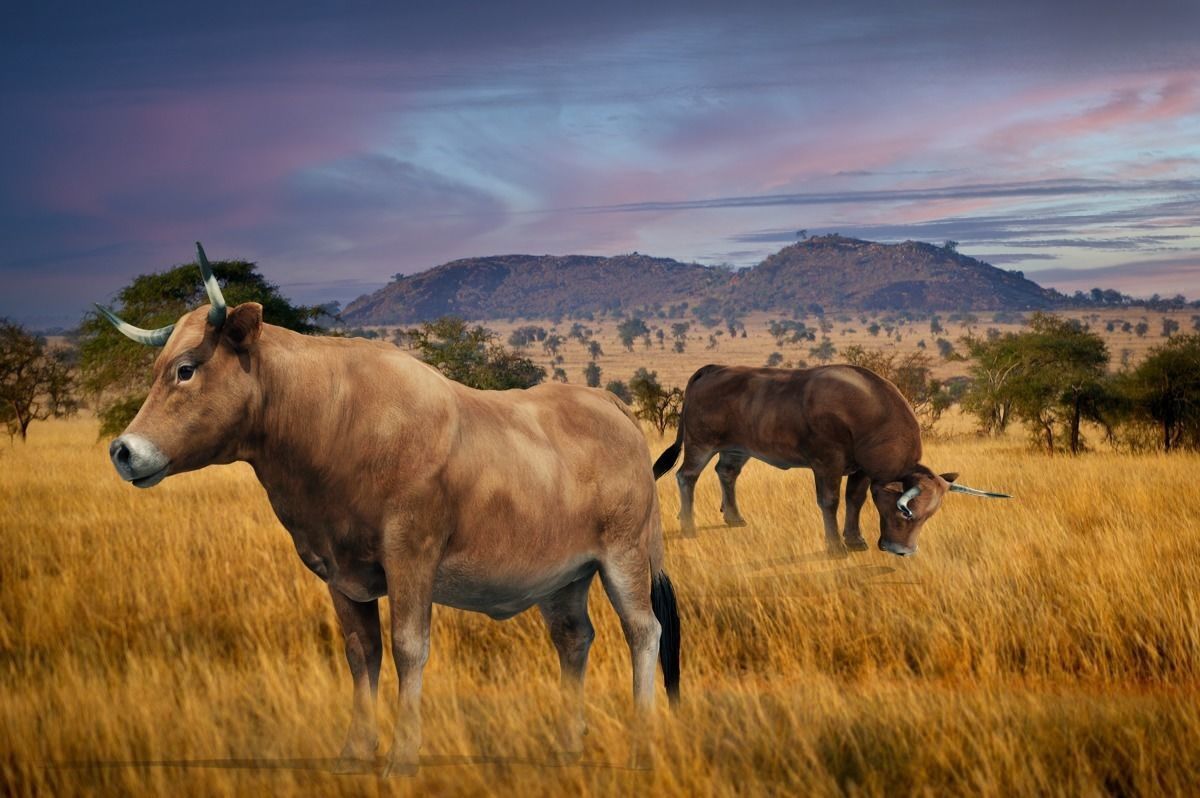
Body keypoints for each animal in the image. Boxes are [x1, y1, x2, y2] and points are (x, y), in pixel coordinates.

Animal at [96, 244, 680, 776]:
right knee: (574, 639)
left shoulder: (411, 559)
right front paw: (354, 753)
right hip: (564, 577)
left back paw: (641, 747)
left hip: (624, 558)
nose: (123, 451)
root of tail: (607, 404)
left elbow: (407, 649)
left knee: (643, 632)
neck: (334, 419)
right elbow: (362, 653)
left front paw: (402, 758)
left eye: (186, 369)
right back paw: (565, 747)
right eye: (157, 368)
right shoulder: (340, 576)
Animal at [653, 364, 1010, 557]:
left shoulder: (861, 471)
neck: (871, 412)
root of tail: (713, 368)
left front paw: (855, 540)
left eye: (928, 516)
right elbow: (830, 501)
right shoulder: (827, 464)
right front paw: (836, 546)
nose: (903, 551)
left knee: (726, 473)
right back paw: (688, 527)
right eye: (905, 513)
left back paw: (735, 518)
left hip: (737, 449)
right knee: (686, 477)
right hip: (700, 444)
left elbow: (855, 501)